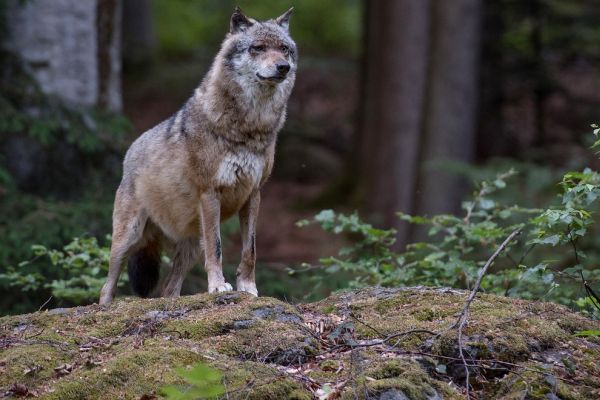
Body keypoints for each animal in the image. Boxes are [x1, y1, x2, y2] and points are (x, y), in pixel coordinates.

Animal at [99, 6, 298, 304]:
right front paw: (218, 287)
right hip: (128, 238)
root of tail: (130, 150)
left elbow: (250, 249)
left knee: (168, 289)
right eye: (258, 48)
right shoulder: (210, 192)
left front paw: (248, 288)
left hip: (190, 246)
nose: (283, 67)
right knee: (107, 286)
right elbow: (216, 248)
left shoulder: (254, 194)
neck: (250, 128)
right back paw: (104, 307)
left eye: (284, 49)